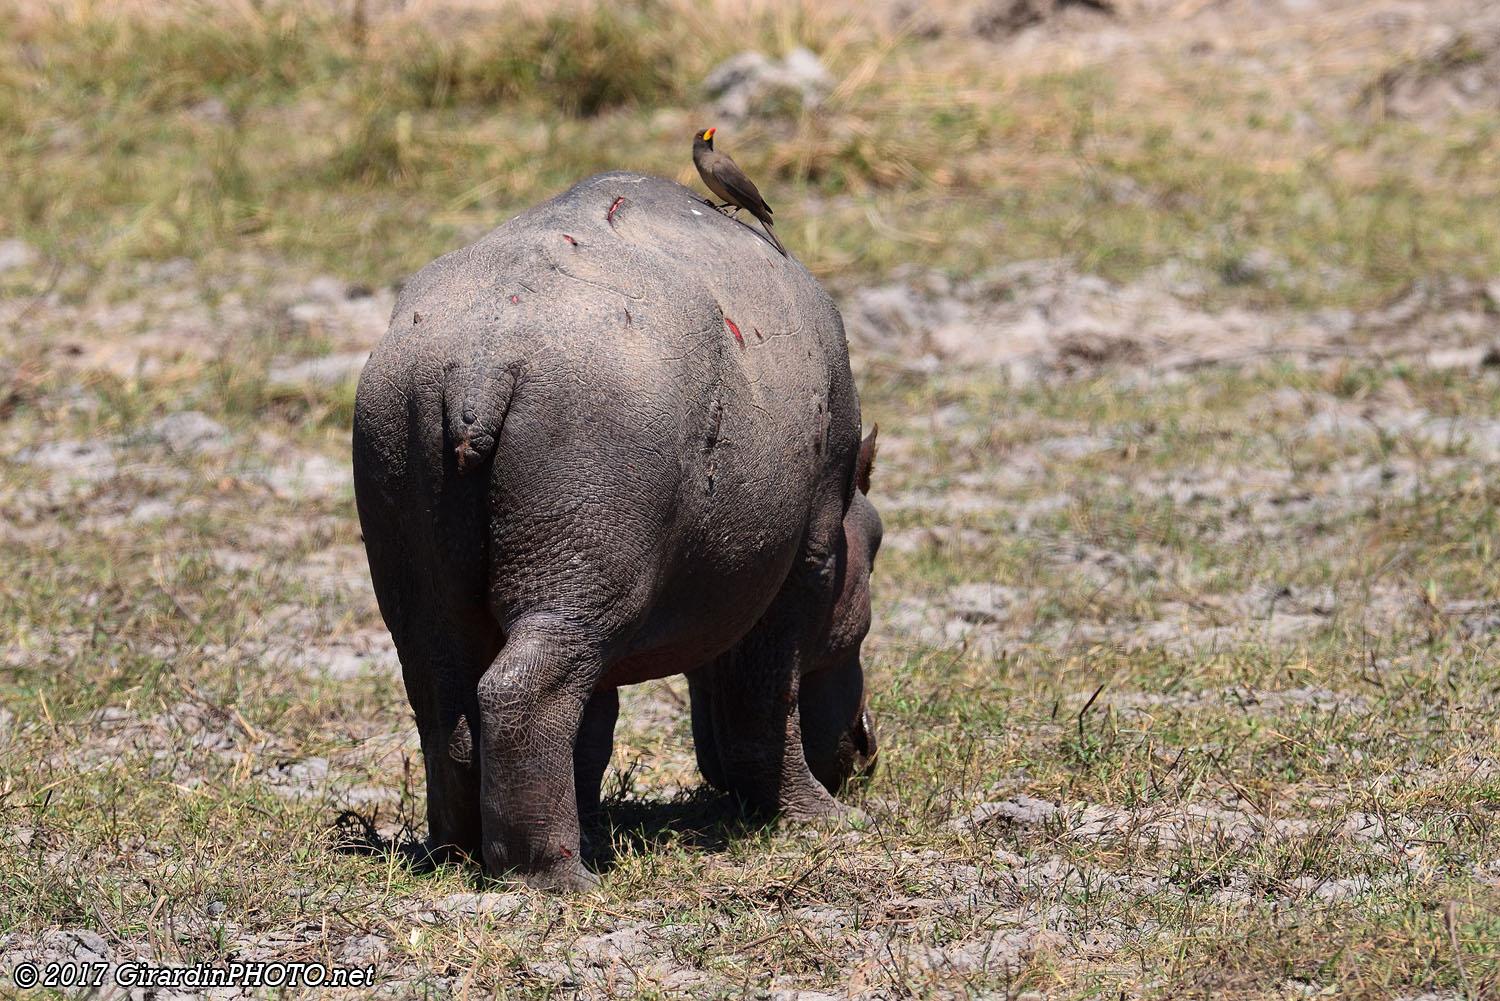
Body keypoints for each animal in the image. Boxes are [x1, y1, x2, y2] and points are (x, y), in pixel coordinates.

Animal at [352, 172, 881, 890]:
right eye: (876, 543)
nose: (867, 750)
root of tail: (486, 358)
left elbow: (594, 733)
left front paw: (592, 826)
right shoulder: (808, 559)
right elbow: (768, 696)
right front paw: (826, 820)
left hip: (430, 563)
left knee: (447, 704)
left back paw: (459, 854)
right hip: (580, 570)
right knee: (523, 693)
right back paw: (560, 882)